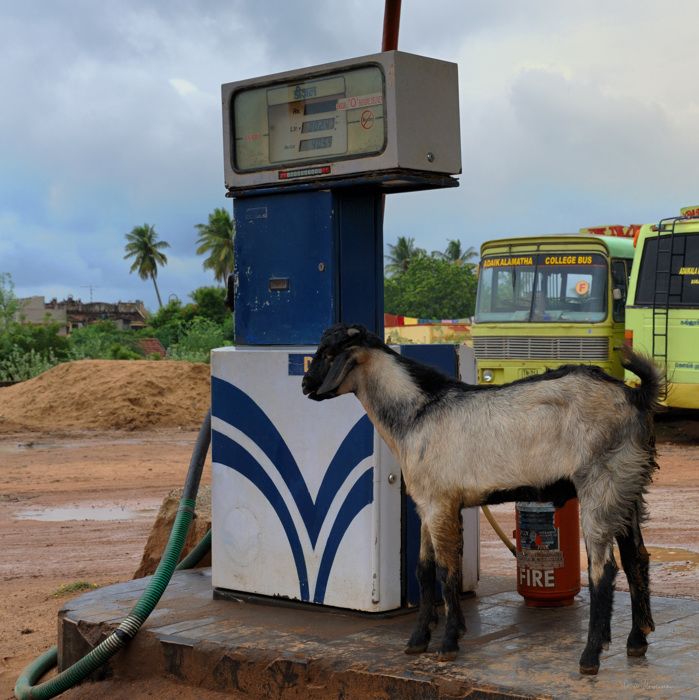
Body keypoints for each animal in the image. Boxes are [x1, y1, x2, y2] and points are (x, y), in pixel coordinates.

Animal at [300, 322, 660, 672]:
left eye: (330, 354)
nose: (304, 385)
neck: (418, 413)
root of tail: (634, 395)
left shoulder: (441, 503)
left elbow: (446, 571)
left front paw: (448, 643)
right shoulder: (426, 505)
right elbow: (423, 569)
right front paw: (418, 640)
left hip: (601, 483)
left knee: (604, 569)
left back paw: (590, 656)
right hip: (628, 486)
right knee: (636, 557)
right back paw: (637, 640)